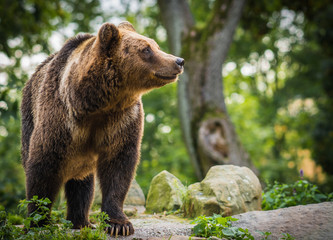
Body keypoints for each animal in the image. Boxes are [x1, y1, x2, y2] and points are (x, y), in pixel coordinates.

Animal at [20, 21, 183, 235]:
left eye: (155, 45)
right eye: (146, 49)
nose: (179, 61)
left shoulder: (123, 119)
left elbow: (119, 165)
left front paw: (119, 224)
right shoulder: (61, 117)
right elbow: (43, 165)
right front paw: (39, 221)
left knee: (82, 183)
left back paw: (81, 221)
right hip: (29, 118)